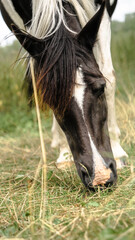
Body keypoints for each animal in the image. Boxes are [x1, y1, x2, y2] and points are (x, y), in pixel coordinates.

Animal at [0, 0, 126, 188]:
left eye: (101, 88)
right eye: (52, 102)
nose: (100, 177)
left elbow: (107, 73)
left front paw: (117, 153)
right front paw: (64, 155)